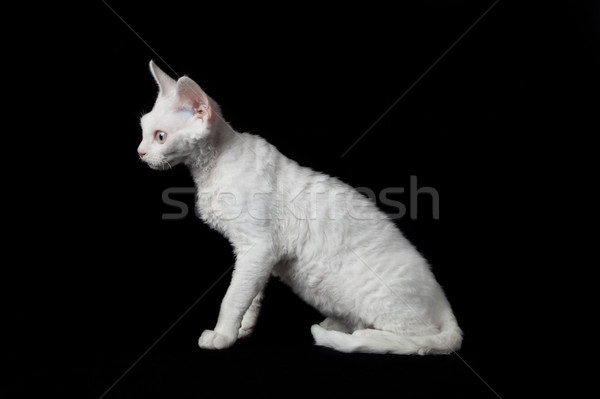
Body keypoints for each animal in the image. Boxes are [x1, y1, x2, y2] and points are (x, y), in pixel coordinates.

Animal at [137, 61, 464, 354]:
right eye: (142, 132)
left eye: (160, 137)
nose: (139, 152)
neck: (211, 169)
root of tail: (444, 301)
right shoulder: (253, 254)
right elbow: (250, 293)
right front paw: (242, 328)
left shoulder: (258, 246)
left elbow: (232, 297)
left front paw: (222, 336)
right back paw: (337, 325)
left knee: (419, 340)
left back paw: (350, 336)